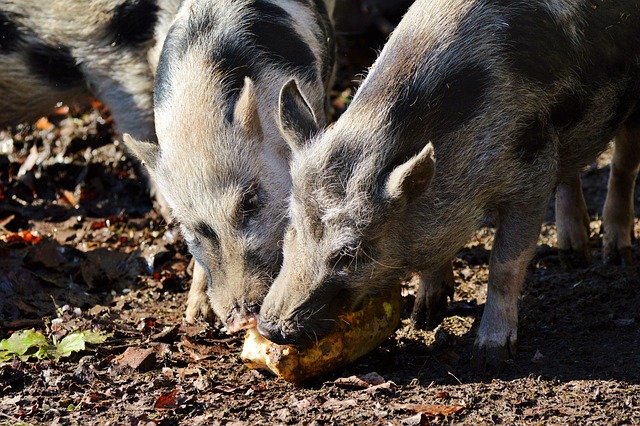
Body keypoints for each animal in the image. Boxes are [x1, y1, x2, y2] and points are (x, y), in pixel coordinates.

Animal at [258, 0, 640, 372]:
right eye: (292, 229)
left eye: (350, 253)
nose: (269, 328)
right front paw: (424, 318)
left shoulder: (534, 167)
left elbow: (505, 264)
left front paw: (488, 359)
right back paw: (573, 257)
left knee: (623, 165)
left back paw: (617, 256)